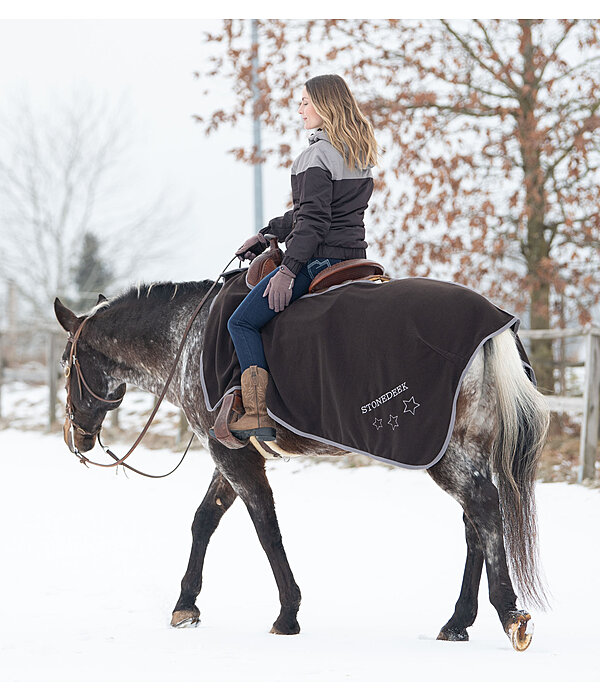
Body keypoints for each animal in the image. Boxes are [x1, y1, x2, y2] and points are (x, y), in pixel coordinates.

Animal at [54, 278, 552, 652]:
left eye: (65, 362)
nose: (77, 437)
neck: (186, 337)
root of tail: (494, 325)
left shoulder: (233, 458)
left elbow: (266, 530)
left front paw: (287, 613)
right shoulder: (233, 455)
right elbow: (204, 521)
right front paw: (186, 604)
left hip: (449, 456)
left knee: (484, 509)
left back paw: (509, 613)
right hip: (466, 448)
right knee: (475, 523)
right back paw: (457, 622)